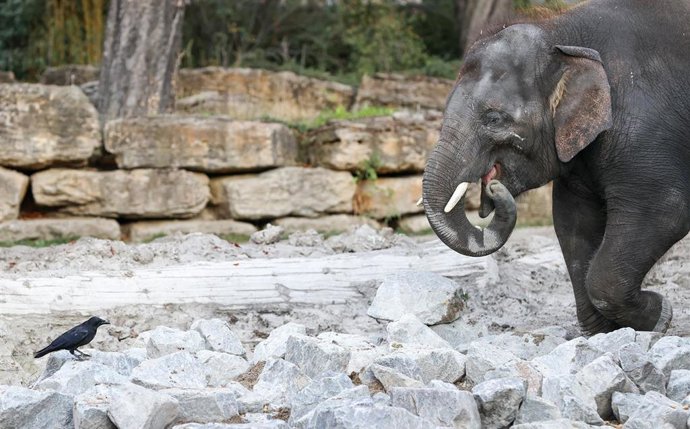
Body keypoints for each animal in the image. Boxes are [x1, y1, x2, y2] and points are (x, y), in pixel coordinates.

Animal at [422, 0, 690, 335]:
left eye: (494, 119)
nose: (493, 188)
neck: (562, 33)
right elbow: (571, 222)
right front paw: (606, 330)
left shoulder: (647, 130)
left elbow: (666, 211)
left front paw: (661, 314)